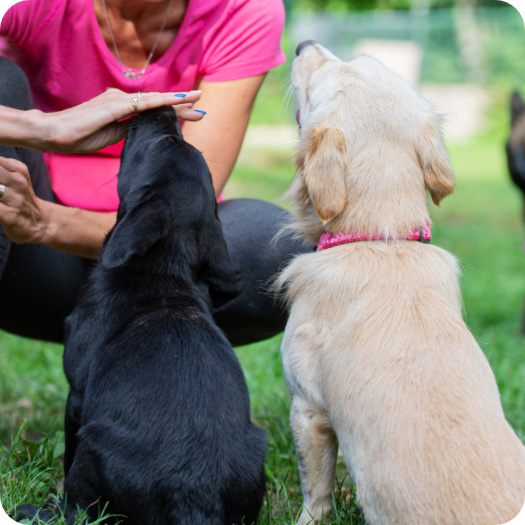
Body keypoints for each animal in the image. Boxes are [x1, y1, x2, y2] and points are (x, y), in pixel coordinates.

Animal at [16, 107, 266, 524]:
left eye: (165, 141)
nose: (163, 108)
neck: (161, 270)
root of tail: (198, 499)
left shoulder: (77, 396)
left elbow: (67, 457)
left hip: (93, 443)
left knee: (80, 509)